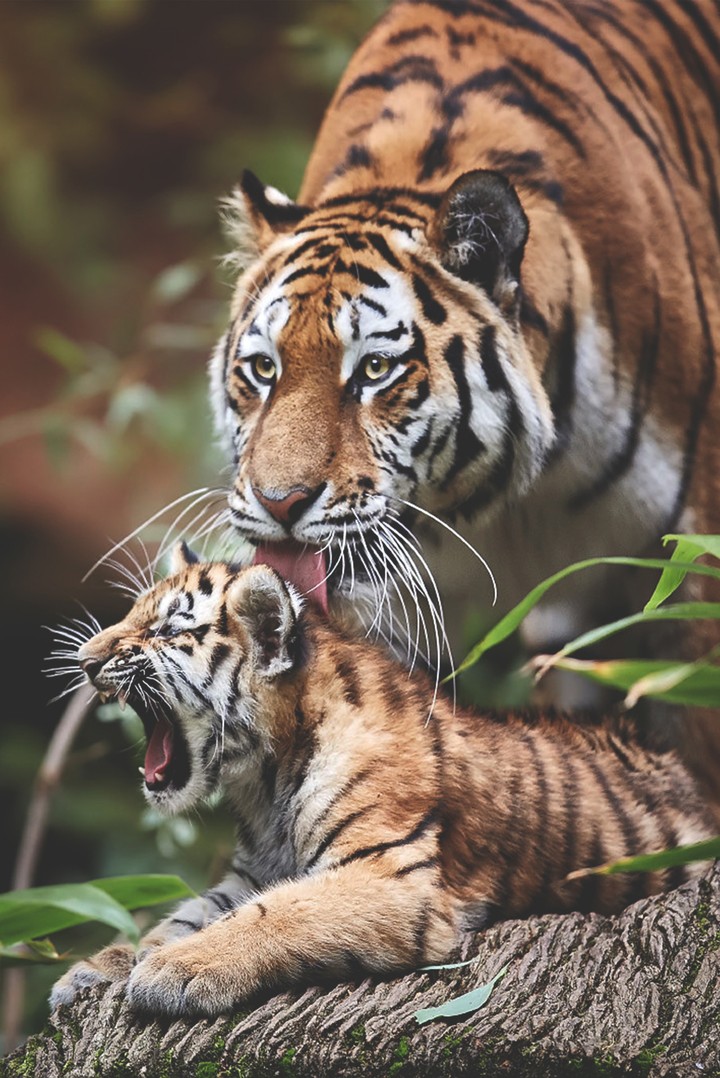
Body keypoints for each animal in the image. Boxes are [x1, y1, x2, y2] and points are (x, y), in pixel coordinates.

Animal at [49, 544, 715, 1019]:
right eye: (131, 615)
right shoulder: (249, 874)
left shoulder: (390, 873)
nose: (84, 660)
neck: (264, 782)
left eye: (166, 631)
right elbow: (182, 915)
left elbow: (278, 912)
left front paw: (175, 969)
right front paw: (97, 966)